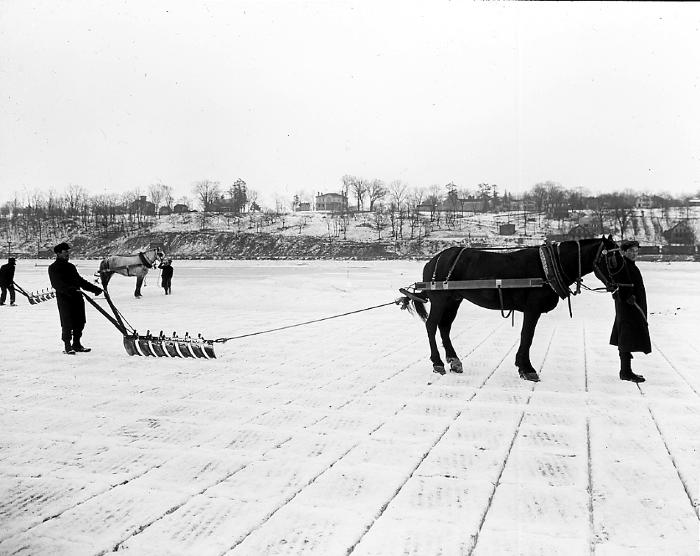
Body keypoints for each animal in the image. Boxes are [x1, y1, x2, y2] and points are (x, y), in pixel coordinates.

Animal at [402, 235, 620, 382]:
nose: (618, 286)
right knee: (431, 326)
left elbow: (526, 336)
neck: (548, 267)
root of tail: (433, 261)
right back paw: (437, 362)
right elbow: (527, 336)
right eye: (612, 259)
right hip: (440, 300)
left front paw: (521, 365)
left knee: (444, 327)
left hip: (454, 300)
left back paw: (454, 360)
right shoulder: (532, 309)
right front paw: (527, 368)